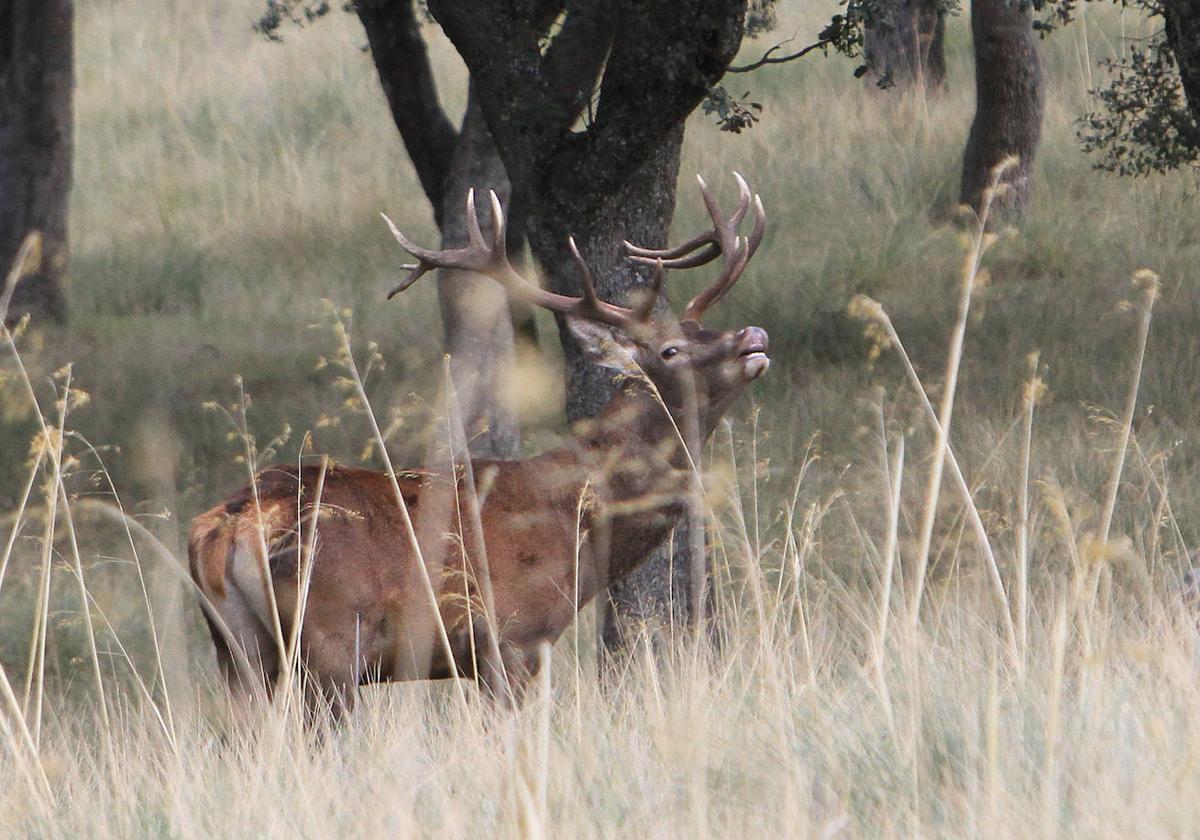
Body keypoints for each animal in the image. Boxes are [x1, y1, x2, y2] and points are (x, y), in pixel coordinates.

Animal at [187, 172, 768, 720]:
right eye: (670, 350)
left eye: (707, 327)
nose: (753, 337)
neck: (580, 523)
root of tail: (228, 527)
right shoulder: (514, 637)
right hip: (329, 640)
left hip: (235, 650)